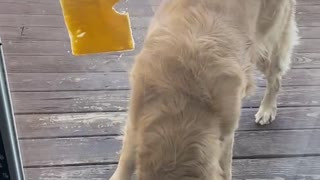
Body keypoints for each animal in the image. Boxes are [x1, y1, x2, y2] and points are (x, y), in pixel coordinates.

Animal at [109, 0, 298, 179]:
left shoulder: (226, 134)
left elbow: (224, 167)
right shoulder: (135, 118)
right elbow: (126, 159)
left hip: (266, 45)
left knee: (275, 80)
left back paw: (267, 109)